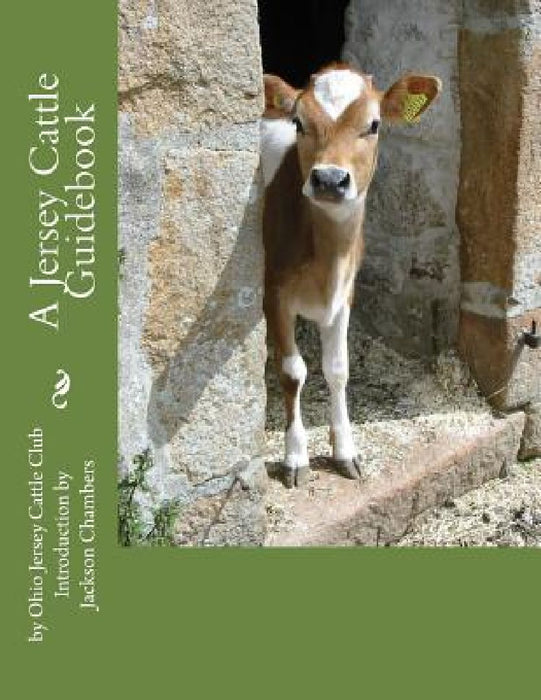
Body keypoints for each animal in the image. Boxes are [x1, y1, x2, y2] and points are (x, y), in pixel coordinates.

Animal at [261, 63, 441, 487]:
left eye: (373, 125)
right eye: (298, 122)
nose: (329, 179)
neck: (327, 260)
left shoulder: (345, 295)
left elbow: (338, 370)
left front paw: (344, 450)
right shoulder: (274, 293)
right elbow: (292, 372)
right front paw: (296, 456)